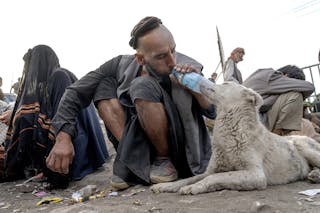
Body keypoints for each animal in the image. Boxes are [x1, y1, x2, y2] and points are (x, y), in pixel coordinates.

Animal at [151, 81, 320, 195]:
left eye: (225, 83)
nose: (200, 81)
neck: (231, 131)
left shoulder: (256, 175)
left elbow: (217, 177)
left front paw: (195, 187)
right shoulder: (210, 170)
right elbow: (189, 178)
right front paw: (166, 186)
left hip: (303, 145)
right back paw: (314, 175)